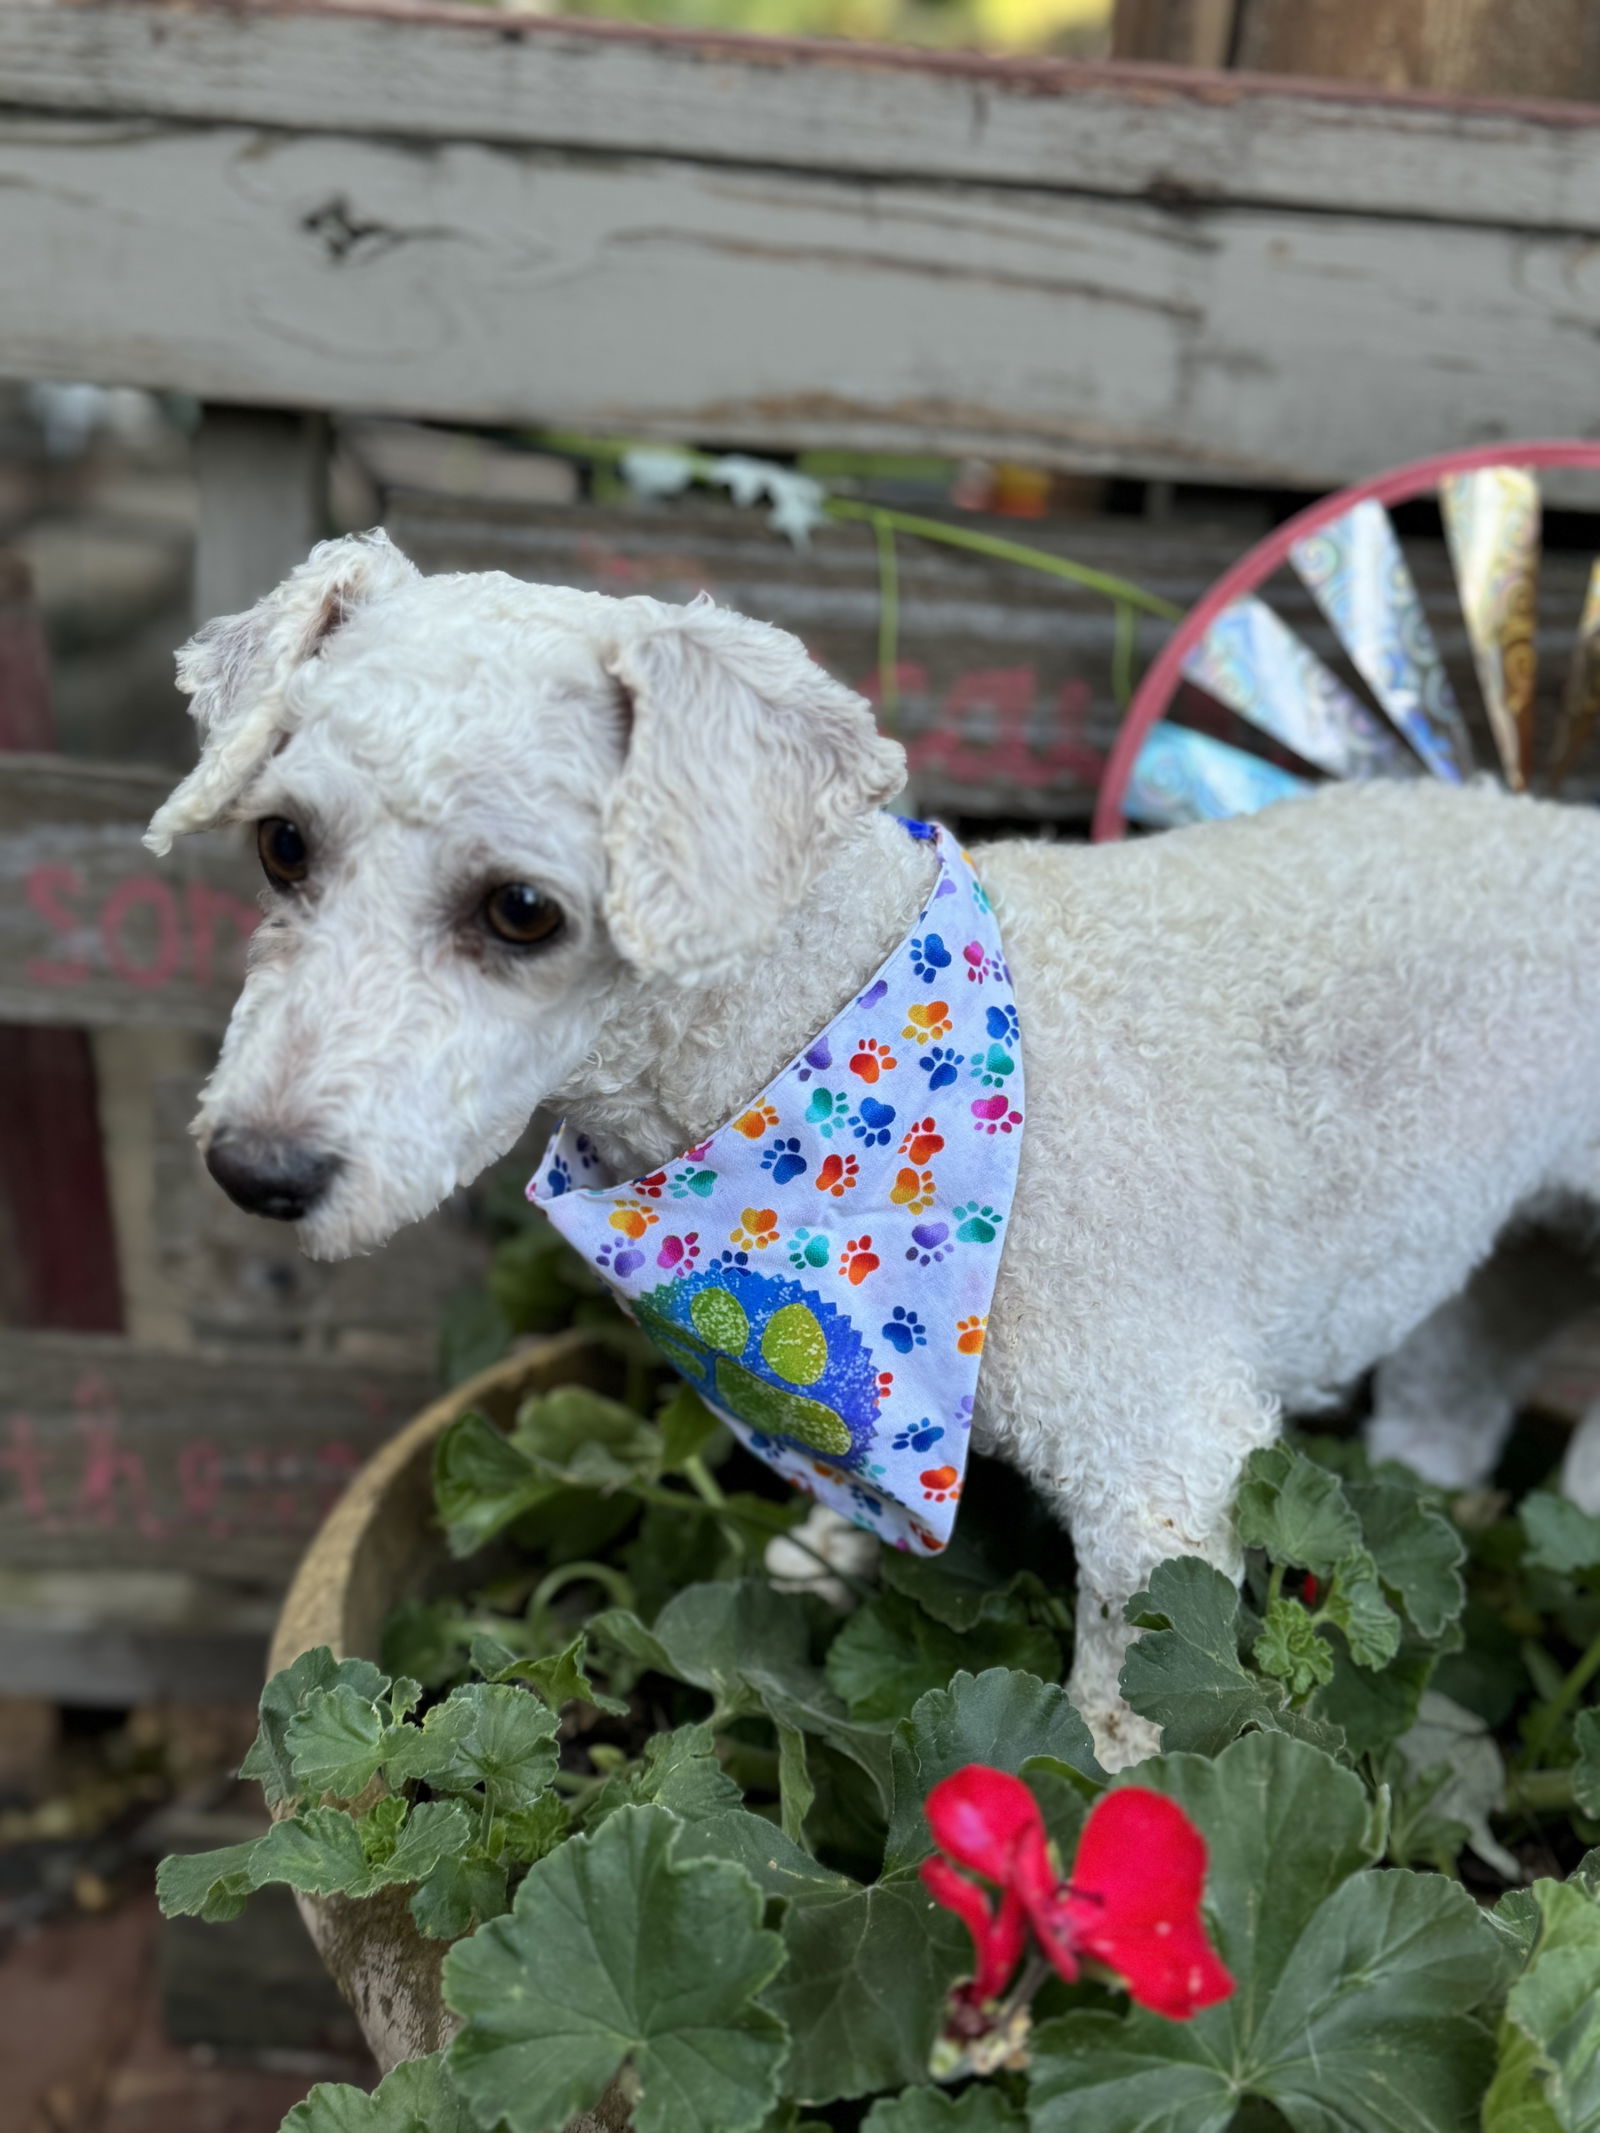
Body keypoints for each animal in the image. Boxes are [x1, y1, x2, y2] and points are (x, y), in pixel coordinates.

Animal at [153, 533, 1600, 1766]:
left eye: (521, 910)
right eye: (282, 844)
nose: (256, 1171)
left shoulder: (1163, 1468)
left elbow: (1122, 1726)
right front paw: (813, 1566)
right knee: (1459, 1398)